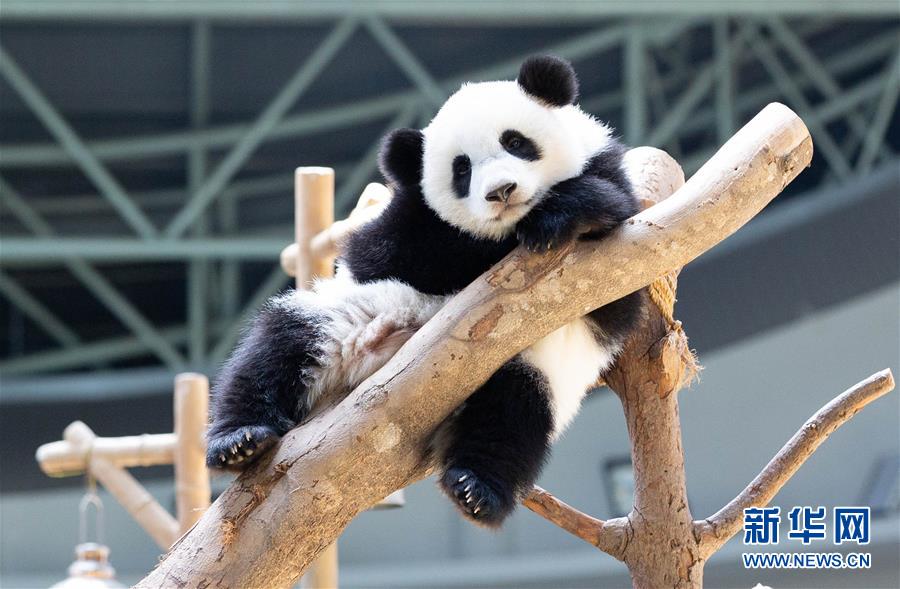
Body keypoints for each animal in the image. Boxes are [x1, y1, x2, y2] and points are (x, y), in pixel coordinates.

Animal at [206, 55, 643, 528]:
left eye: (515, 141)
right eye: (462, 169)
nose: (501, 192)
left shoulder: (610, 239)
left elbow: (616, 295)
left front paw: (567, 211)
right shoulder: (402, 226)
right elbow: (389, 253)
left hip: (524, 362)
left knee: (516, 412)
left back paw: (476, 489)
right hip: (348, 318)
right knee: (278, 345)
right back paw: (238, 440)